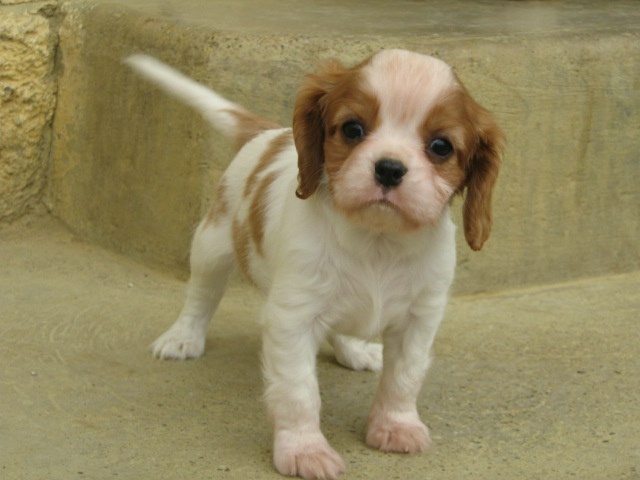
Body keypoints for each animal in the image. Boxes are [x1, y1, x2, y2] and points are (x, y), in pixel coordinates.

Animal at [125, 49, 503, 479]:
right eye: (353, 129)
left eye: (441, 146)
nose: (389, 168)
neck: (377, 240)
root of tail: (270, 133)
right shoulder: (293, 318)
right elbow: (298, 391)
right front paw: (304, 449)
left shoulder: (419, 320)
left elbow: (403, 378)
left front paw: (395, 426)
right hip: (213, 243)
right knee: (202, 293)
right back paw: (183, 336)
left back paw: (355, 350)